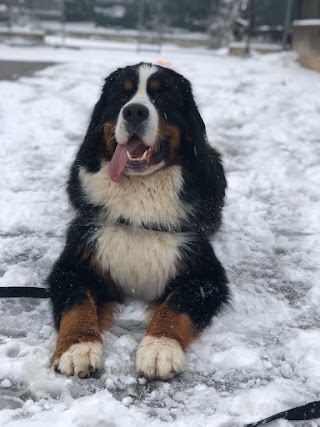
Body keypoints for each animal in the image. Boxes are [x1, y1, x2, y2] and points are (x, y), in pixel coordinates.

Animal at [47, 62, 229, 382]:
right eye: (122, 95)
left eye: (162, 97)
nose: (134, 112)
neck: (137, 214)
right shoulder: (75, 260)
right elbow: (77, 303)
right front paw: (78, 347)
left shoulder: (205, 274)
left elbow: (176, 306)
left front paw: (160, 348)